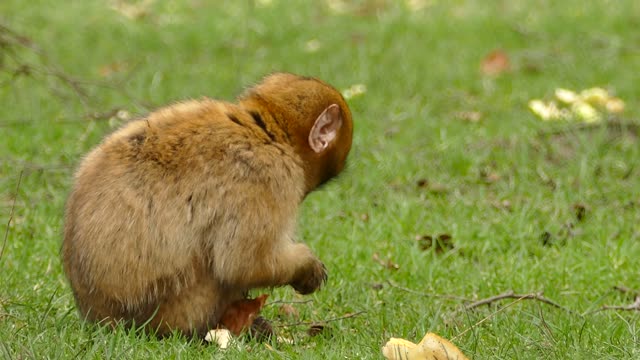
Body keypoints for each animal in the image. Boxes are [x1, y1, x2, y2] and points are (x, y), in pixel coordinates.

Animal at [62, 72, 352, 338]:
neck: (266, 131)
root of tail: (99, 317)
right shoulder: (268, 177)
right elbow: (242, 263)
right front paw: (307, 267)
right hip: (177, 309)